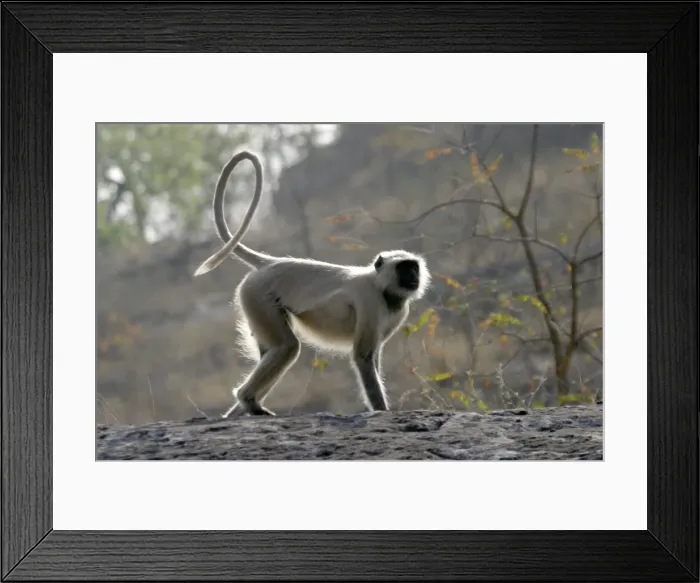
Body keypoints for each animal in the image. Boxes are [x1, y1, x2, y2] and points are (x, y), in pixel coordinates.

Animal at [194, 150, 431, 418]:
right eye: (404, 268)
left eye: (413, 267)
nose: (413, 277)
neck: (382, 287)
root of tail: (269, 263)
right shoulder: (370, 300)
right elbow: (363, 357)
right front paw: (380, 410)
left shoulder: (398, 311)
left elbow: (374, 356)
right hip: (258, 295)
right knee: (286, 347)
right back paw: (248, 401)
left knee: (271, 350)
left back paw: (240, 410)